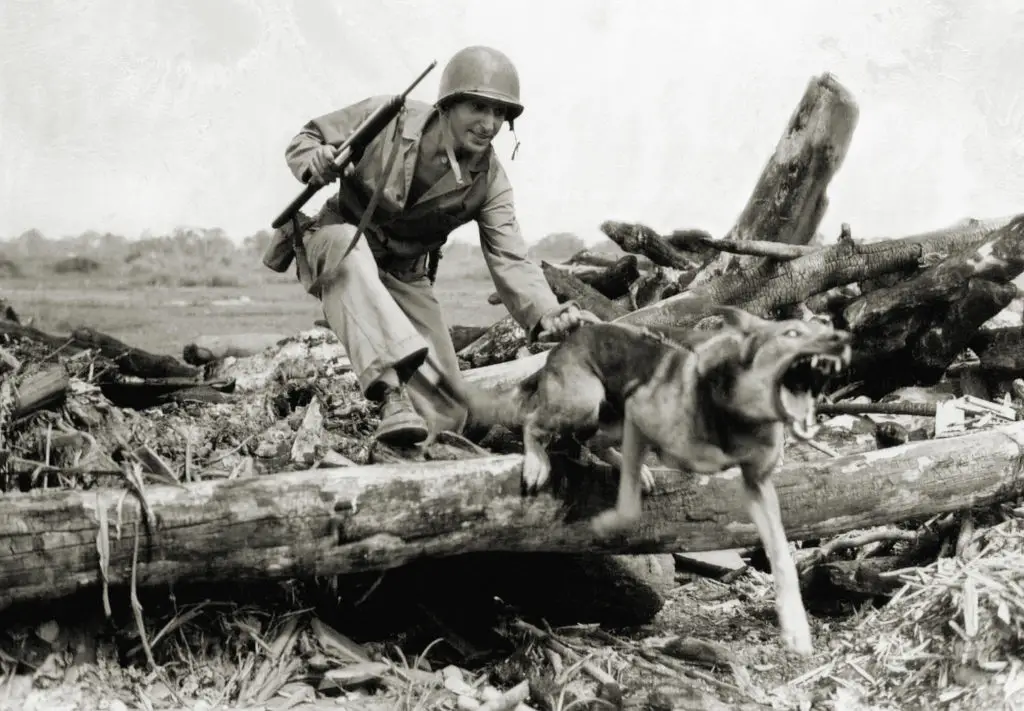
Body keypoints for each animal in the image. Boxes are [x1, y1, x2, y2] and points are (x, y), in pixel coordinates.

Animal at [444, 307, 851, 655]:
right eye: (792, 333)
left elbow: (781, 556)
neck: (736, 410)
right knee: (534, 422)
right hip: (584, 401)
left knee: (592, 440)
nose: (841, 337)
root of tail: (564, 343)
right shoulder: (641, 412)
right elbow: (626, 508)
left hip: (606, 416)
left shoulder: (758, 484)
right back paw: (537, 462)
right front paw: (607, 522)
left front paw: (796, 629)